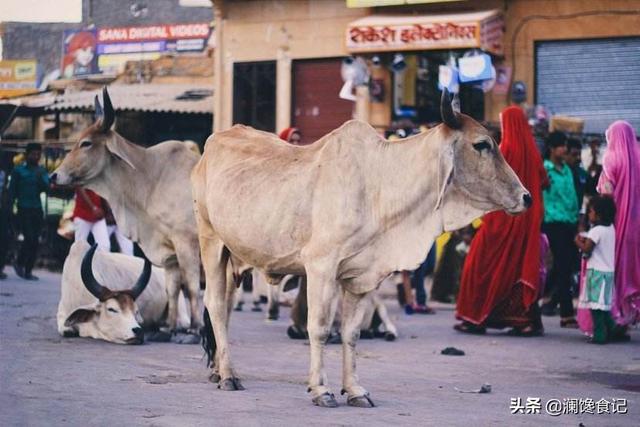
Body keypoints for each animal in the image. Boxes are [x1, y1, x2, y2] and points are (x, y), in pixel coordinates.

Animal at [192, 90, 532, 408]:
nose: (526, 197)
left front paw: (355, 390)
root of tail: (212, 144)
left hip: (234, 255)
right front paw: (321, 389)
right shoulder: (320, 267)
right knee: (216, 305)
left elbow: (351, 333)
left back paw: (218, 370)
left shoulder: (363, 276)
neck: (379, 186)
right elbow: (319, 328)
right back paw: (228, 376)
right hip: (211, 242)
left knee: (226, 307)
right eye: (482, 145)